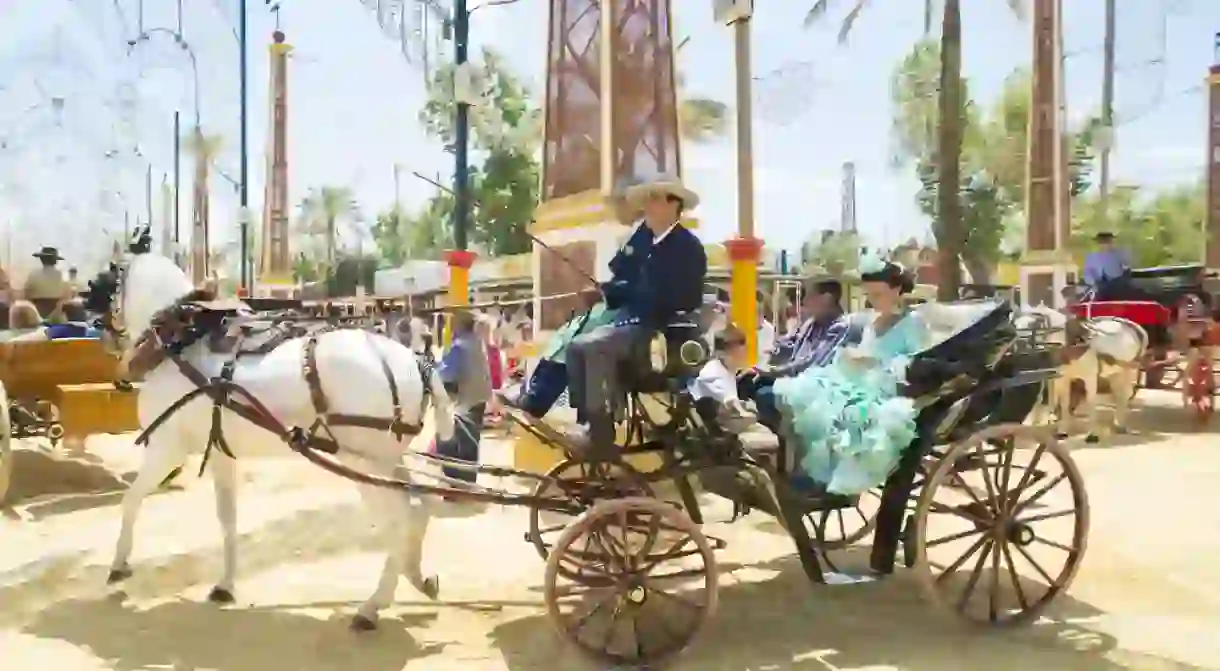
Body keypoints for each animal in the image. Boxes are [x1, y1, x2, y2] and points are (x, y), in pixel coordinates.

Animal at [96, 251, 453, 629]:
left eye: (104, 282)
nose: (100, 330)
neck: (177, 342)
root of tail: (413, 361)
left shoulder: (167, 449)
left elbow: (131, 500)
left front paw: (119, 565)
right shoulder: (222, 453)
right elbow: (227, 519)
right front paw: (225, 585)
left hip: (363, 462)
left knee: (401, 517)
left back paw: (374, 605)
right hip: (387, 459)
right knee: (419, 507)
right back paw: (417, 576)